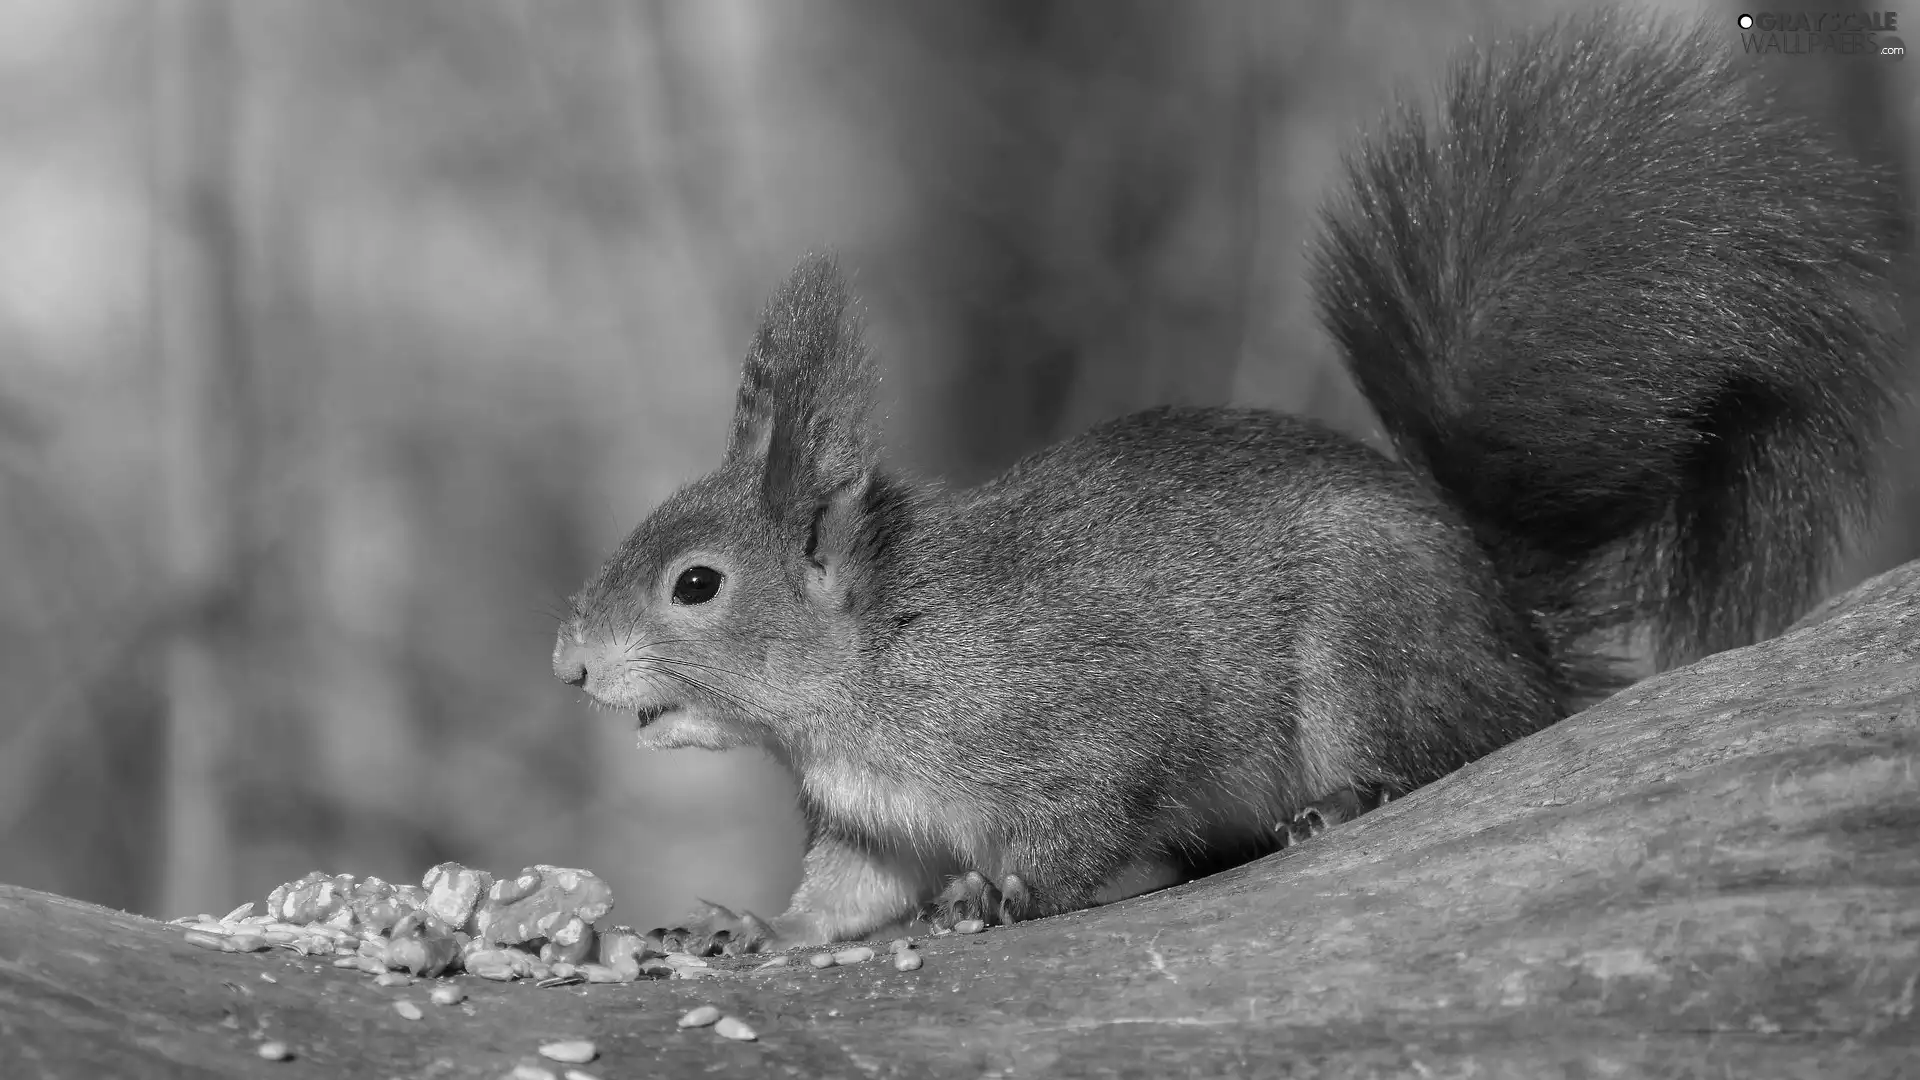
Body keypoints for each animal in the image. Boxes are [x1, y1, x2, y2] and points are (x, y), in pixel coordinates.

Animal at [552, 10, 1904, 949]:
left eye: (695, 585)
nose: (569, 665)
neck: (874, 660)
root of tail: (1514, 634)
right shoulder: (871, 819)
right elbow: (848, 897)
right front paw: (757, 927)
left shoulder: (1075, 725)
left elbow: (1081, 825)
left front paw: (996, 898)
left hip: (1373, 651)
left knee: (1448, 749)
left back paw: (1346, 804)